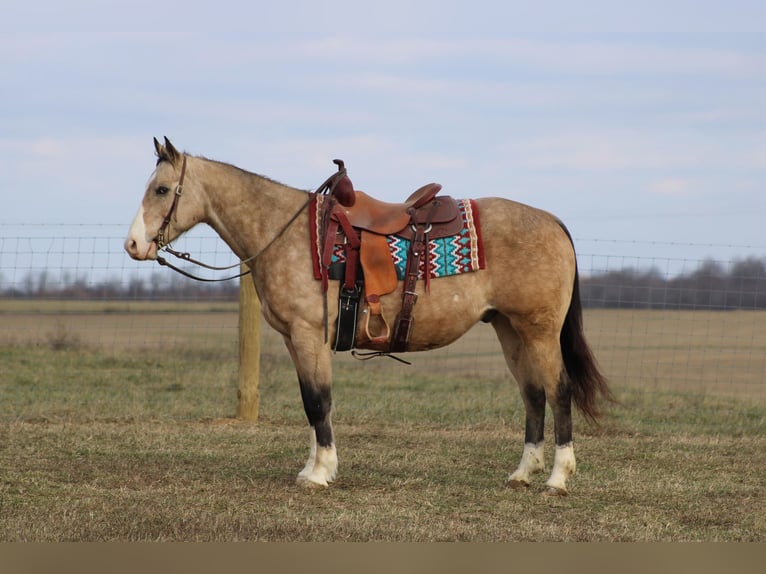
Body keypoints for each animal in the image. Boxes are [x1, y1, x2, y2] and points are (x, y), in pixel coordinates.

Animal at [129, 137, 616, 498]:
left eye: (160, 189)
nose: (133, 245)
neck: (287, 233)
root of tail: (553, 222)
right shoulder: (295, 340)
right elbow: (311, 403)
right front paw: (314, 466)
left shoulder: (308, 335)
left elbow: (318, 401)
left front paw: (320, 472)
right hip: (509, 330)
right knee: (533, 394)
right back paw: (522, 473)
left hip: (539, 331)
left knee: (559, 390)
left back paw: (557, 478)